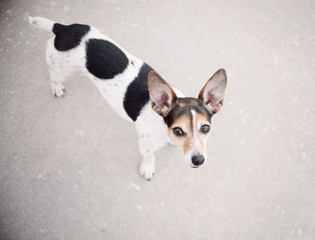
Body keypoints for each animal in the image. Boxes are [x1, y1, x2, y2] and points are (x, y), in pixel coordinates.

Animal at [29, 16, 227, 180]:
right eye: (178, 130)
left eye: (205, 128)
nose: (198, 160)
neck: (162, 127)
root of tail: (62, 28)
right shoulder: (145, 144)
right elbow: (148, 156)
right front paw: (148, 167)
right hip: (61, 67)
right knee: (54, 74)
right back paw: (56, 86)